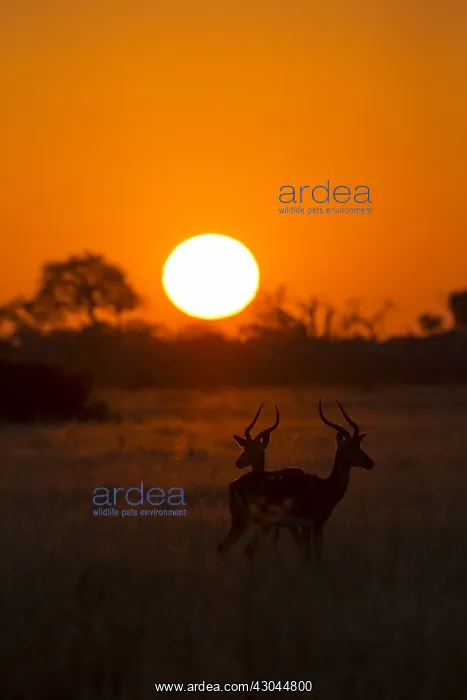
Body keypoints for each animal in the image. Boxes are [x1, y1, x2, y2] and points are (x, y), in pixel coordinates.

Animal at [217, 399, 373, 562]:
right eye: (353, 446)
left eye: (359, 444)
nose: (370, 463)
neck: (326, 486)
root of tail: (234, 485)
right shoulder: (317, 523)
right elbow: (317, 555)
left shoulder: (305, 526)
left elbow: (307, 554)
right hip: (257, 522)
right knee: (244, 549)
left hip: (246, 521)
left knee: (225, 547)